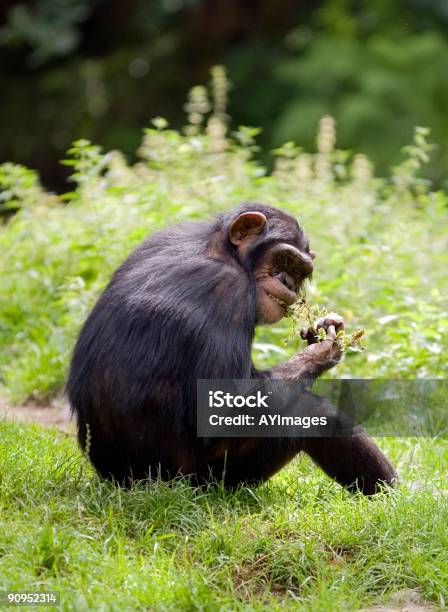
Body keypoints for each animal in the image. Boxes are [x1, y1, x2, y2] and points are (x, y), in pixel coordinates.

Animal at [66, 203, 396, 494]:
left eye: (300, 270)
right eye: (283, 261)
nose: (288, 281)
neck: (227, 253)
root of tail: (120, 481)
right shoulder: (228, 291)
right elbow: (229, 405)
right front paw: (324, 349)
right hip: (203, 479)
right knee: (311, 411)